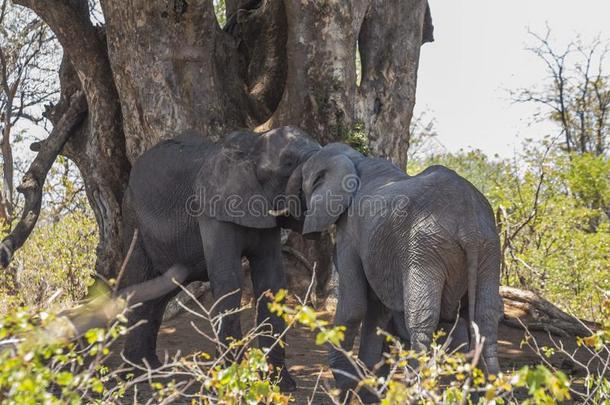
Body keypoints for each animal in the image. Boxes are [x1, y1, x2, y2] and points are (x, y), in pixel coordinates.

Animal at [116, 124, 320, 390]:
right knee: (141, 286)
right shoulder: (212, 210)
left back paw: (150, 370)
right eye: (288, 163)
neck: (252, 148)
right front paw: (232, 385)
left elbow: (272, 282)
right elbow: (228, 281)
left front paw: (281, 386)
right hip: (135, 223)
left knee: (158, 294)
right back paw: (133, 375)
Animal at [278, 143, 502, 398]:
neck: (354, 159)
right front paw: (368, 390)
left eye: (301, 182)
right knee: (484, 319)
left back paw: (416, 392)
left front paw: (344, 383)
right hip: (489, 250)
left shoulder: (350, 234)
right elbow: (377, 310)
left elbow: (354, 306)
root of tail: (469, 227)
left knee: (422, 321)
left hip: (425, 248)